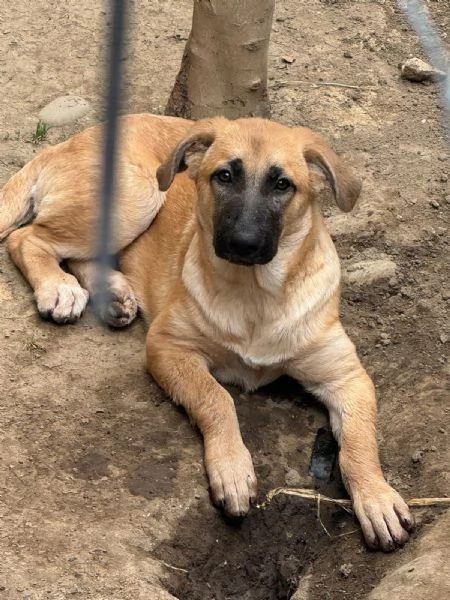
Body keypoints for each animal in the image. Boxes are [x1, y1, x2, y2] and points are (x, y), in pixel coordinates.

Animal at [0, 112, 414, 548]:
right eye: (224, 176)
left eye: (283, 184)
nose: (242, 243)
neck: (256, 295)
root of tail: (71, 140)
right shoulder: (167, 347)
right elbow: (216, 398)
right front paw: (232, 469)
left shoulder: (347, 377)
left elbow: (360, 442)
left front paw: (377, 498)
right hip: (139, 195)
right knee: (27, 237)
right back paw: (58, 287)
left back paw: (112, 294)